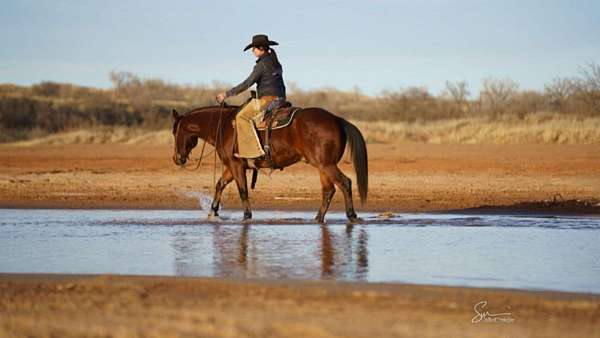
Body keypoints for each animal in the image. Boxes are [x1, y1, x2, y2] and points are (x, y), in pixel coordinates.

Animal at [171, 101, 368, 223]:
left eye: (175, 132)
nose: (177, 158)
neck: (224, 126)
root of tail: (336, 119)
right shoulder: (232, 167)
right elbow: (220, 184)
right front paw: (213, 212)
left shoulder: (236, 166)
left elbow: (243, 191)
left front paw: (247, 216)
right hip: (322, 167)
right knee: (329, 190)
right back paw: (318, 219)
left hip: (326, 165)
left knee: (345, 183)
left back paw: (351, 215)